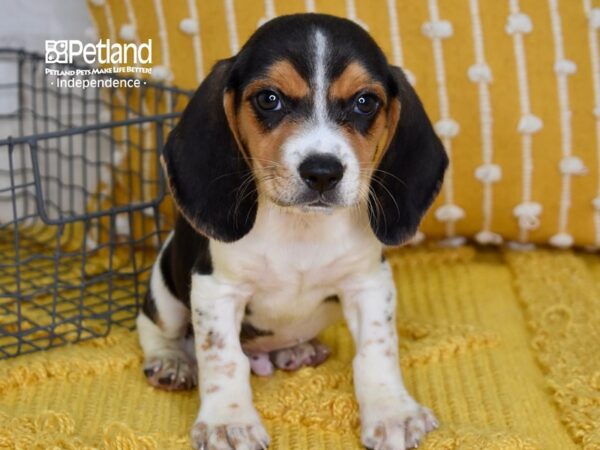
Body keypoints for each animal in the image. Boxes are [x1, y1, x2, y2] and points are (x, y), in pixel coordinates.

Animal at [136, 12, 446, 448]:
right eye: (269, 99)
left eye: (365, 102)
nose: (322, 172)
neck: (301, 227)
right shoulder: (217, 289)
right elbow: (223, 358)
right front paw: (228, 421)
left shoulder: (369, 282)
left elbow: (377, 350)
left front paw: (393, 411)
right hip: (164, 287)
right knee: (155, 326)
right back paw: (171, 362)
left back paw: (296, 350)